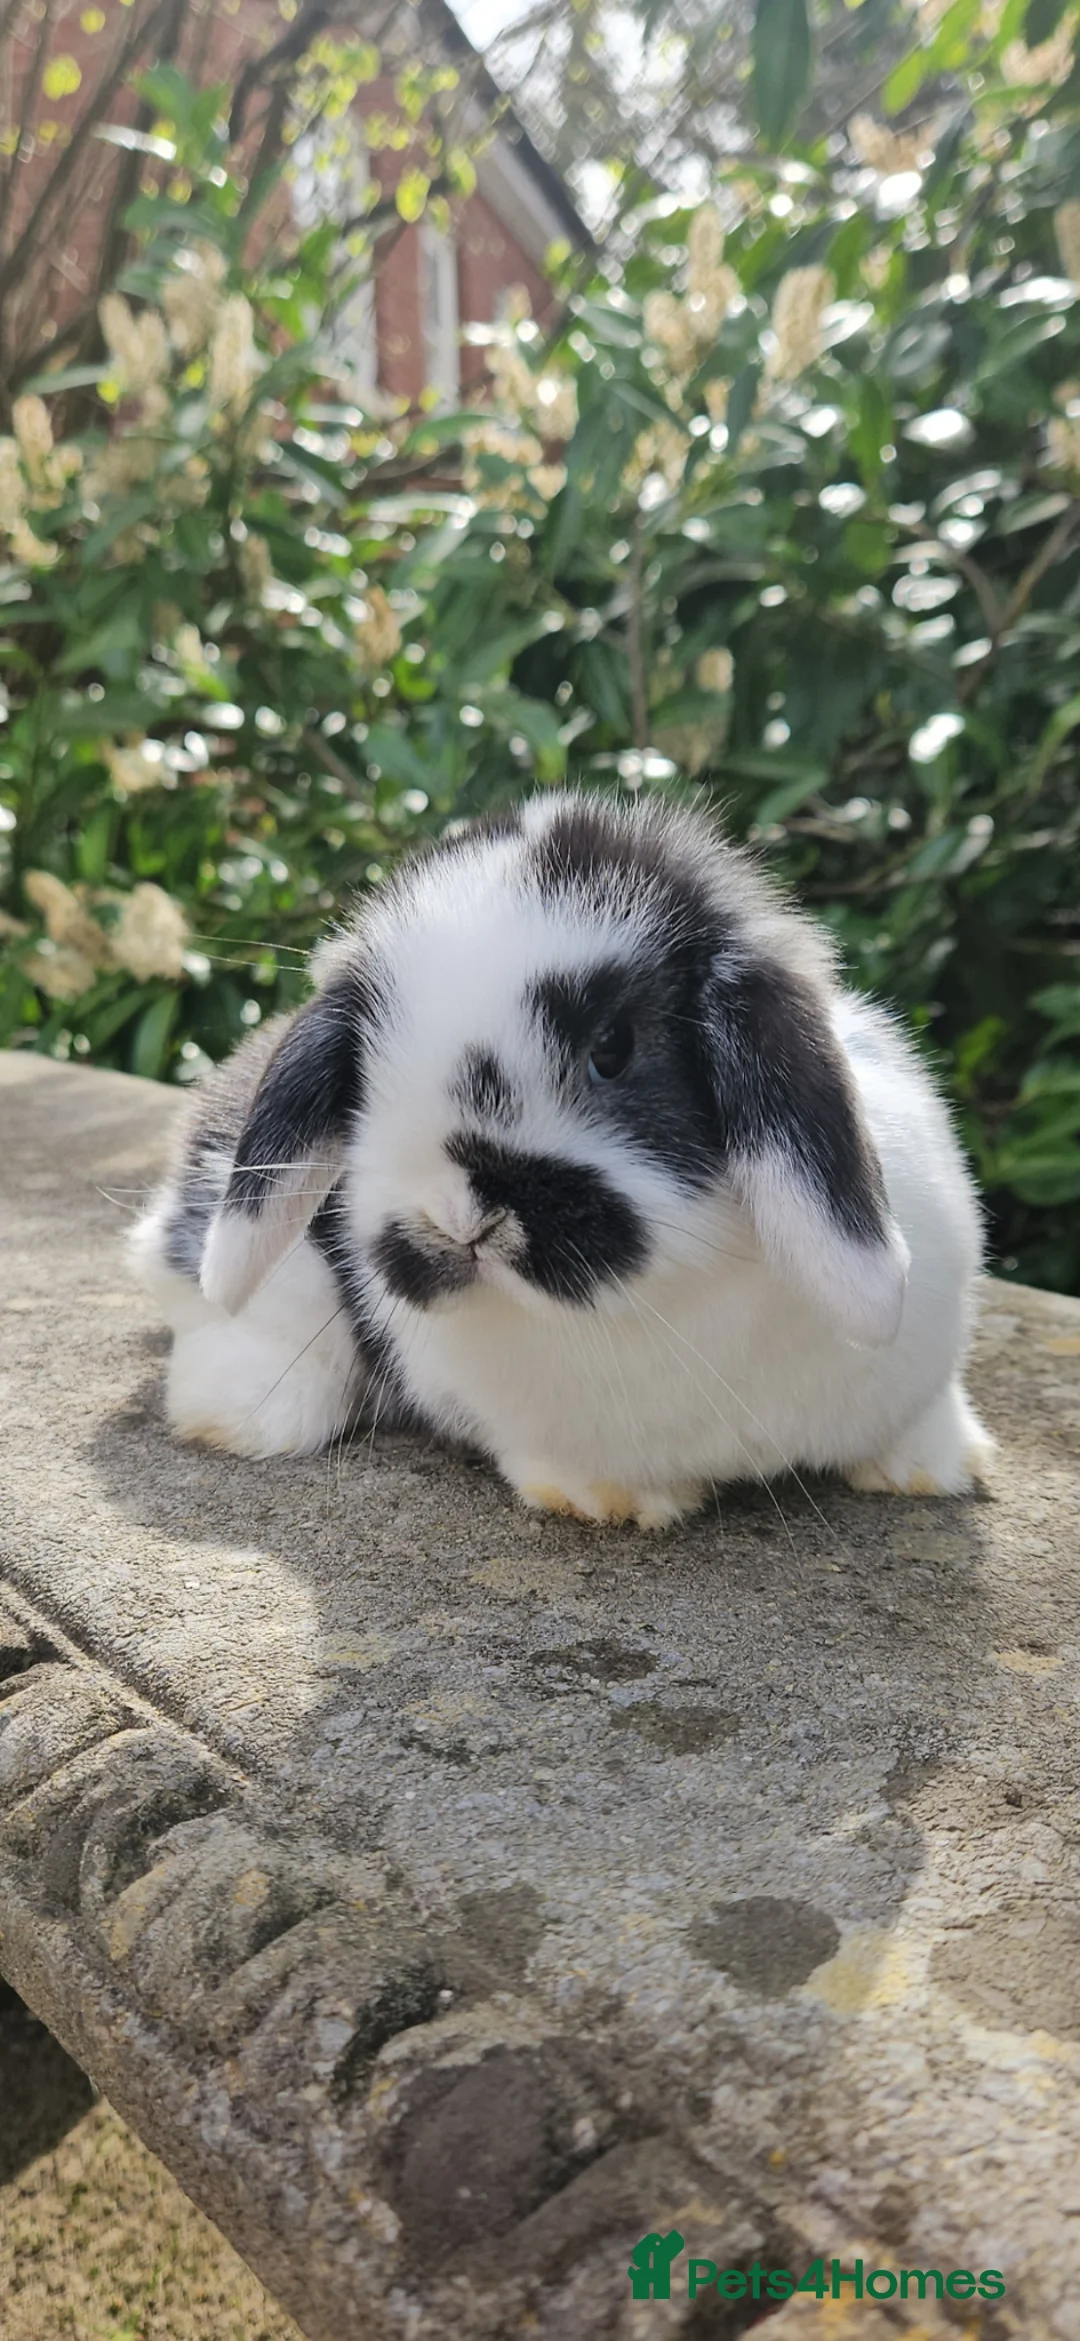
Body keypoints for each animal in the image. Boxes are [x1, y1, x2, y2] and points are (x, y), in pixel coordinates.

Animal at [130, 789, 994, 1528]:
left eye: (612, 1047)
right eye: (364, 1073)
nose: (457, 1220)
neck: (675, 1298)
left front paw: (933, 1468)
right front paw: (605, 1500)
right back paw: (231, 1415)